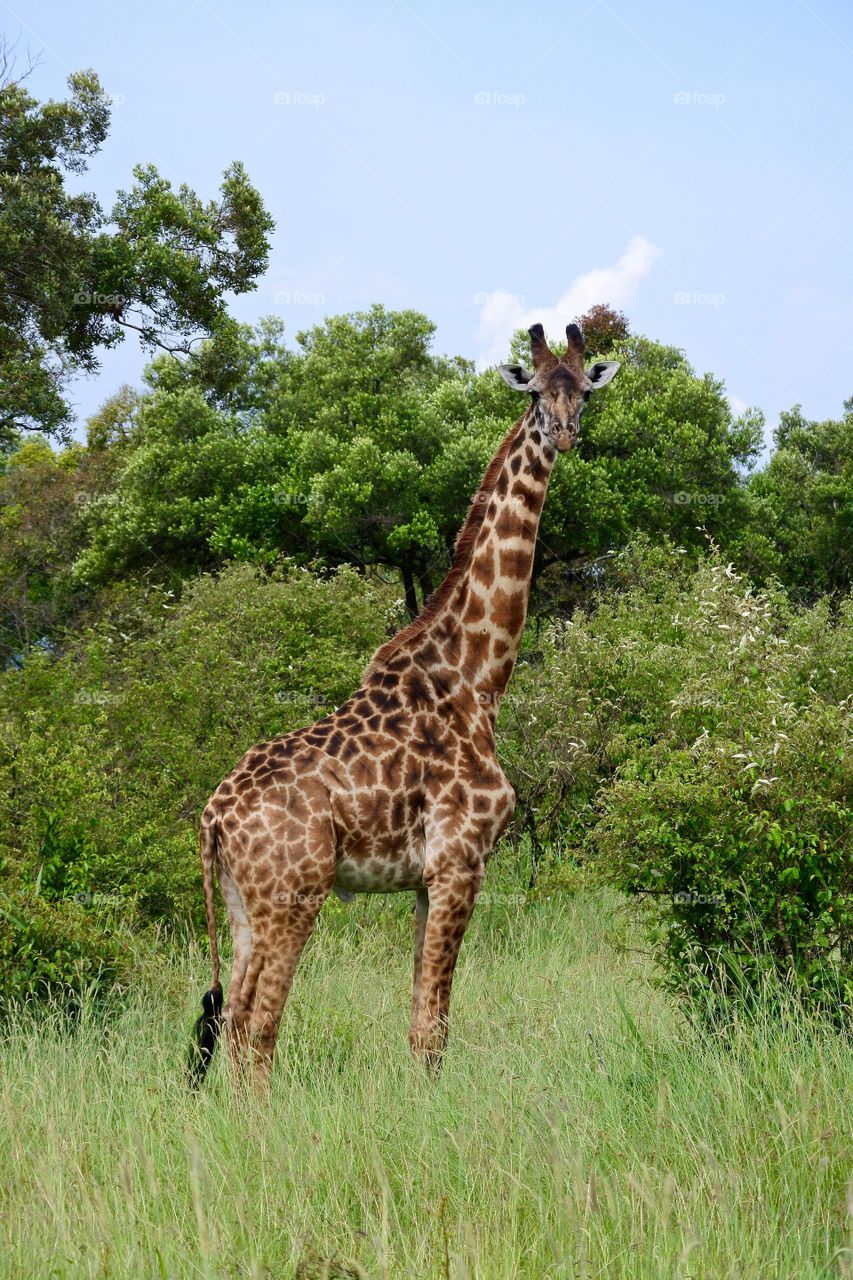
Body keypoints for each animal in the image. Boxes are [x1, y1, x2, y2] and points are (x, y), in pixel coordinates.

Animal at [189, 320, 620, 1085]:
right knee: (258, 1027)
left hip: (242, 903)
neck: (476, 681)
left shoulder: (426, 877)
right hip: (293, 894)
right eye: (536, 394)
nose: (565, 434)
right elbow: (431, 1028)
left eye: (583, 393)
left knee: (232, 1021)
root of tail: (212, 816)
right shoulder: (460, 859)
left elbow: (423, 1021)